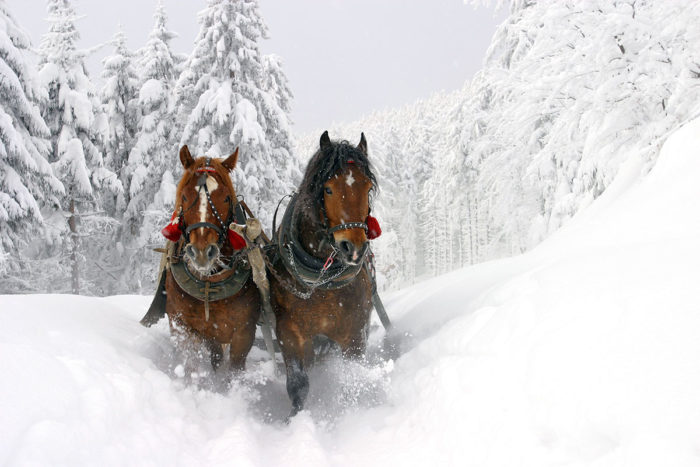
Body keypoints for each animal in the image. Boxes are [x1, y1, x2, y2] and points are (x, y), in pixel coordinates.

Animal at [163, 147, 262, 376]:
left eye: (225, 198)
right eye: (184, 195)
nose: (201, 251)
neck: (209, 284)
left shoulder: (244, 333)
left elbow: (234, 371)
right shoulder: (181, 326)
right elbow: (190, 365)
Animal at [268, 131, 380, 416]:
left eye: (367, 188)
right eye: (328, 189)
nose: (354, 248)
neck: (322, 281)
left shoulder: (355, 334)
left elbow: (352, 379)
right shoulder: (290, 333)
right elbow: (298, 385)